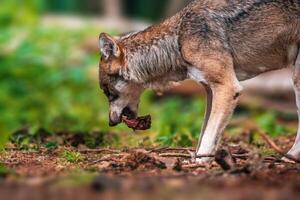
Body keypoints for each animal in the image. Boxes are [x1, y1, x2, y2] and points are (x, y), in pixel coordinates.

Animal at [98, 0, 300, 162]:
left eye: (108, 92)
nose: (110, 123)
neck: (178, 39)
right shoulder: (210, 91)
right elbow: (204, 132)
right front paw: (198, 160)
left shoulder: (228, 87)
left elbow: (209, 134)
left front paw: (202, 163)